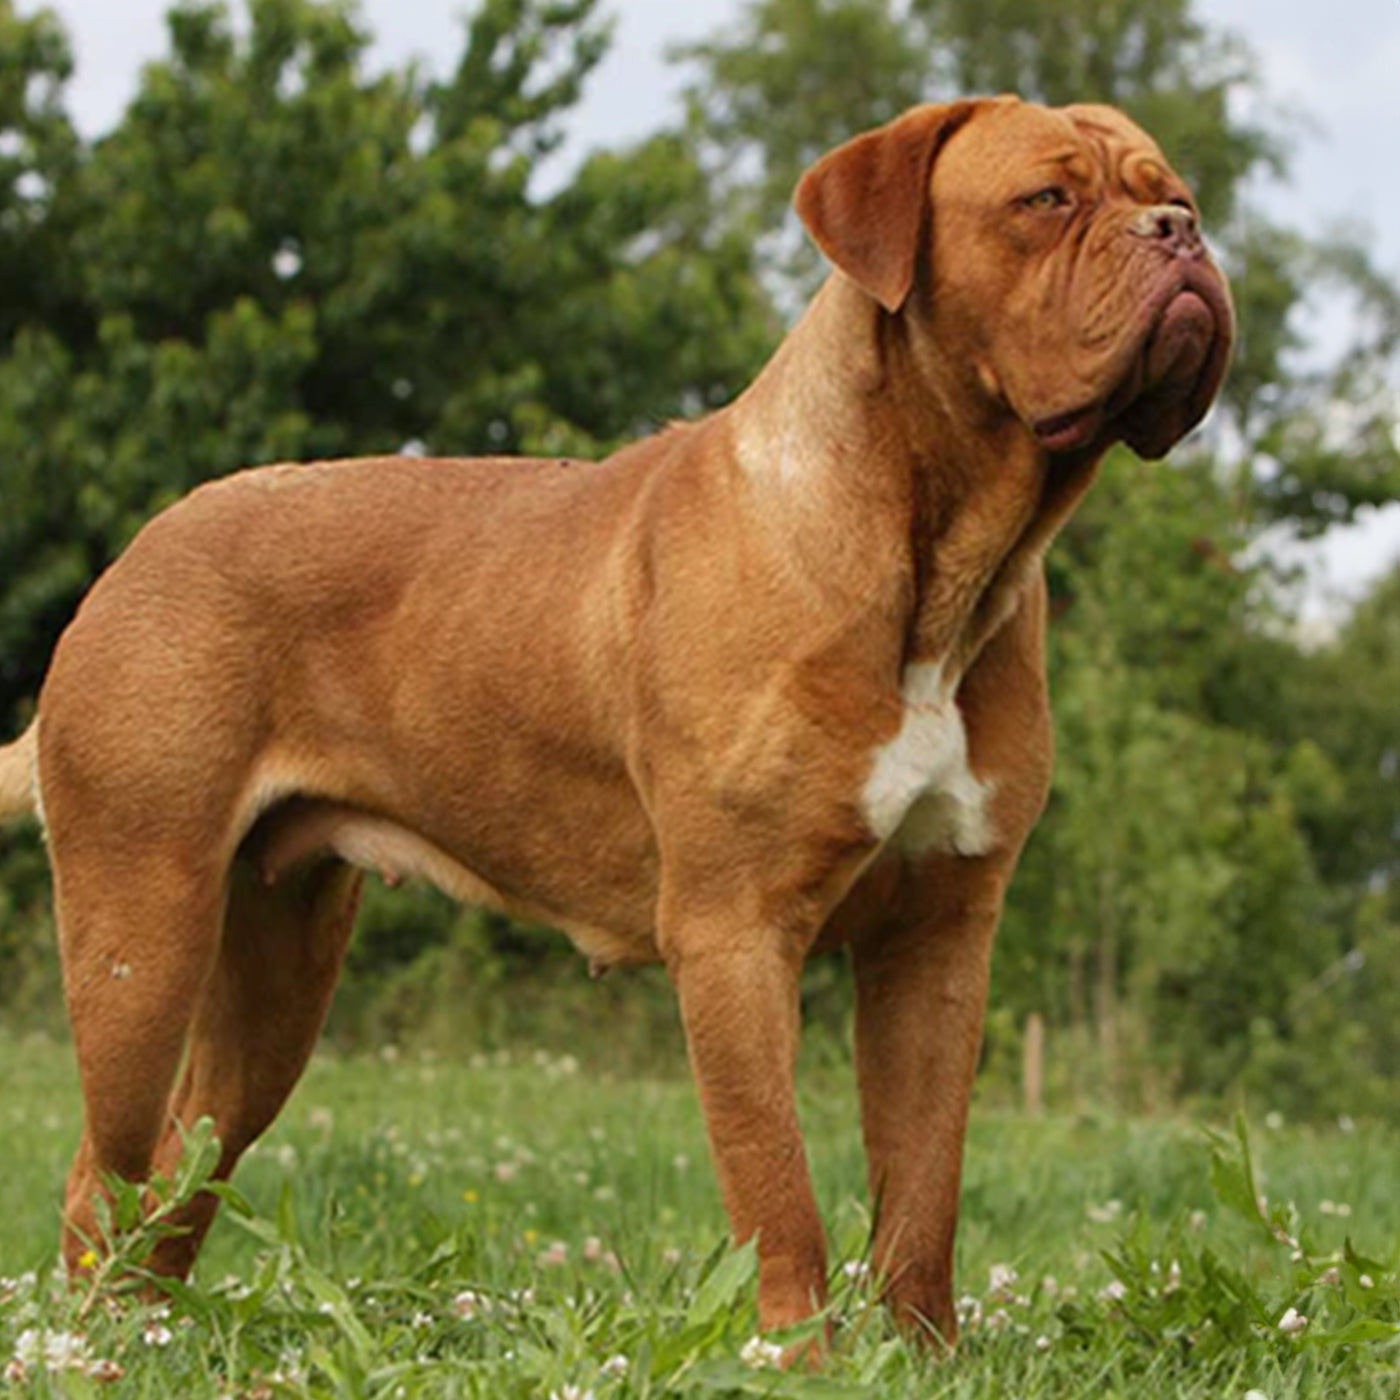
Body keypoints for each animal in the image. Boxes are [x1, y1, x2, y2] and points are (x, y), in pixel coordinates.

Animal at [0, 95, 1232, 1343]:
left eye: (1169, 190)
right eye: (1046, 199)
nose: (1180, 232)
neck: (943, 564)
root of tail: (135, 552)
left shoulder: (939, 933)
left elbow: (921, 1187)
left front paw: (920, 1353)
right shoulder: (734, 927)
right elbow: (775, 1181)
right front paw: (795, 1352)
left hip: (277, 961)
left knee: (184, 1156)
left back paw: (154, 1330)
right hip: (141, 923)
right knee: (103, 1168)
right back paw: (91, 1346)